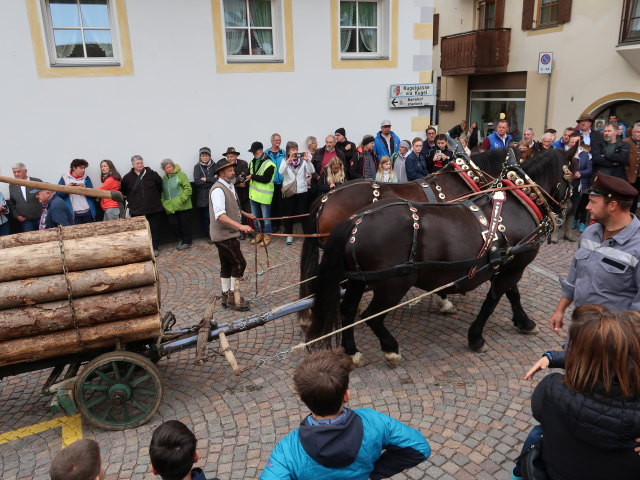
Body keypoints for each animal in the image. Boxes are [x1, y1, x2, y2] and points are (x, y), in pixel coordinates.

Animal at [304, 148, 576, 366]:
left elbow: (512, 294)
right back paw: (390, 348)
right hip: (393, 283)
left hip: (358, 278)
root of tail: (354, 220)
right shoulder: (514, 264)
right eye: (573, 175)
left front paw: (524, 322)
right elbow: (493, 300)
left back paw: (351, 351)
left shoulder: (505, 262)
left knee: (348, 309)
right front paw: (476, 336)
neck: (518, 202)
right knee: (373, 316)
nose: (566, 210)